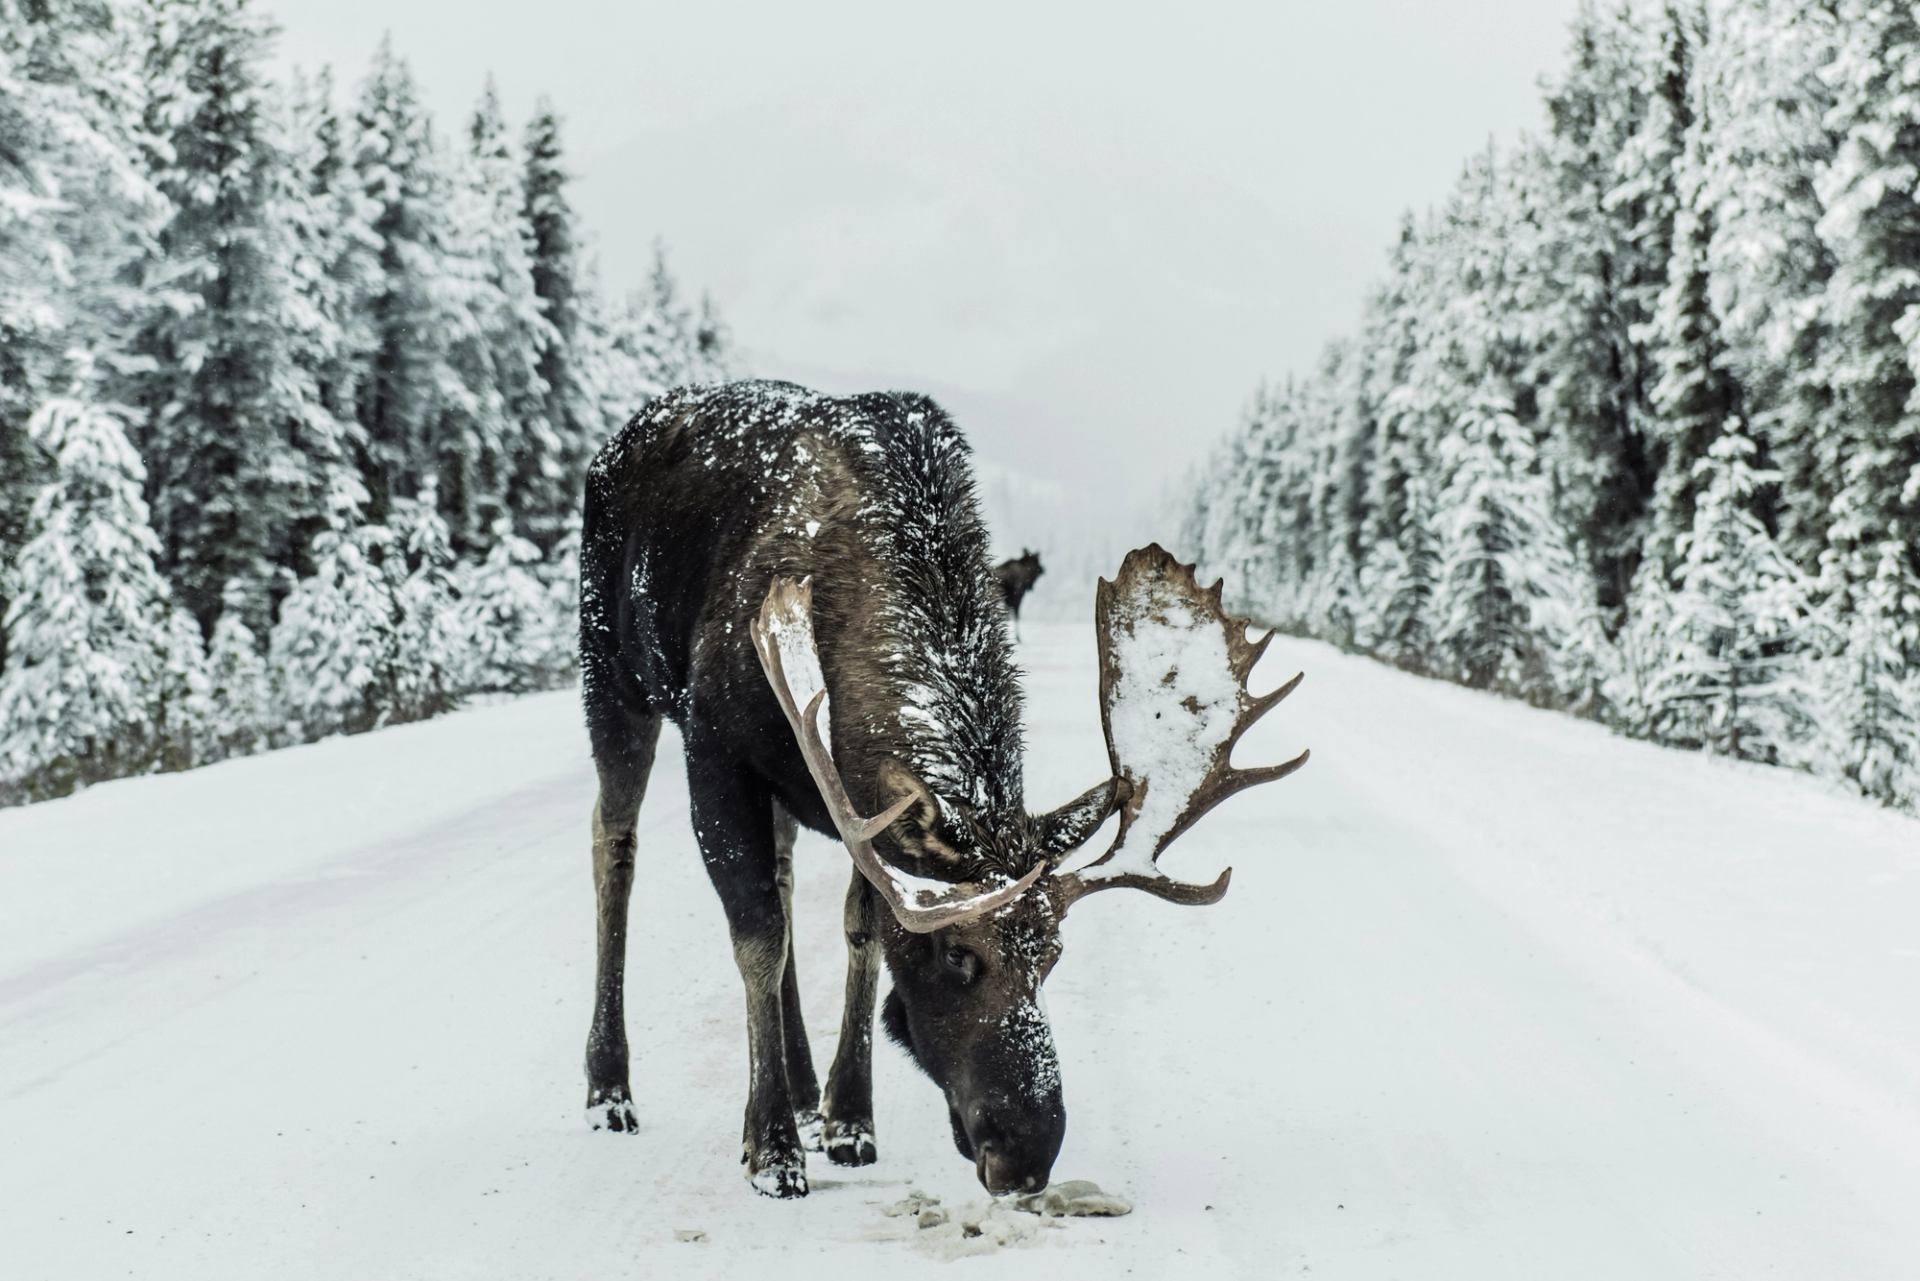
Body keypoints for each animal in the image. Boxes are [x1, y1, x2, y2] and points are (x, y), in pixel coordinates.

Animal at [578, 380, 1306, 1199]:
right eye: (959, 954)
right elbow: (757, 936)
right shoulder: (716, 746)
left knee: (785, 875)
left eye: (1053, 955)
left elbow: (860, 930)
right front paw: (771, 1149)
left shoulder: (852, 802)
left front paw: (848, 1118)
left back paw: (801, 1087)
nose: (1026, 1154)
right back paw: (610, 1089)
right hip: (612, 674)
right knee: (615, 844)